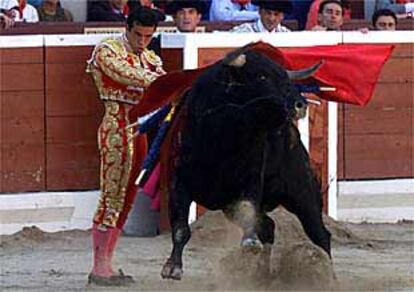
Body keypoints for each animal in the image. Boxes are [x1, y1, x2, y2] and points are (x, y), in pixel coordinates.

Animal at [160, 48, 332, 280]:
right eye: (262, 76)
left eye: (285, 78)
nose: (300, 105)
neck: (223, 134)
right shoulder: (178, 182)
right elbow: (180, 228)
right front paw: (172, 267)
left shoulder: (250, 179)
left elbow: (248, 208)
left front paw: (250, 242)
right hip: (228, 206)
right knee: (269, 226)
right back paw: (262, 275)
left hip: (304, 194)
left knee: (320, 235)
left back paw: (330, 276)